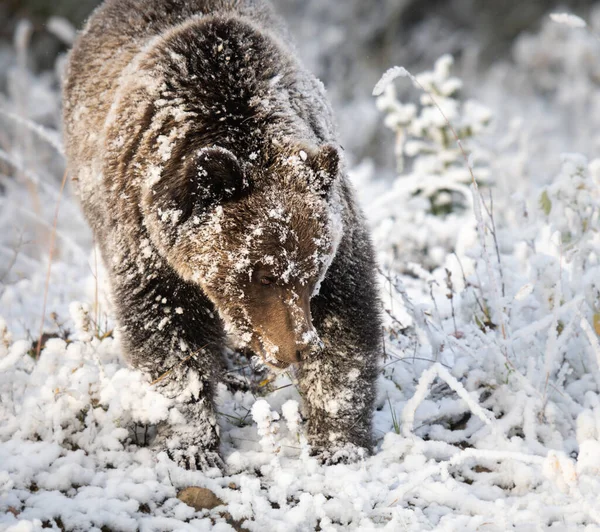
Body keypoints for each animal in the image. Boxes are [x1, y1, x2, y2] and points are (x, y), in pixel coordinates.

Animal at [61, 0, 380, 470]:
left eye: (312, 272)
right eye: (262, 274)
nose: (300, 346)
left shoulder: (338, 231)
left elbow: (347, 325)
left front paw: (338, 441)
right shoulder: (147, 241)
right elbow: (170, 340)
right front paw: (192, 445)